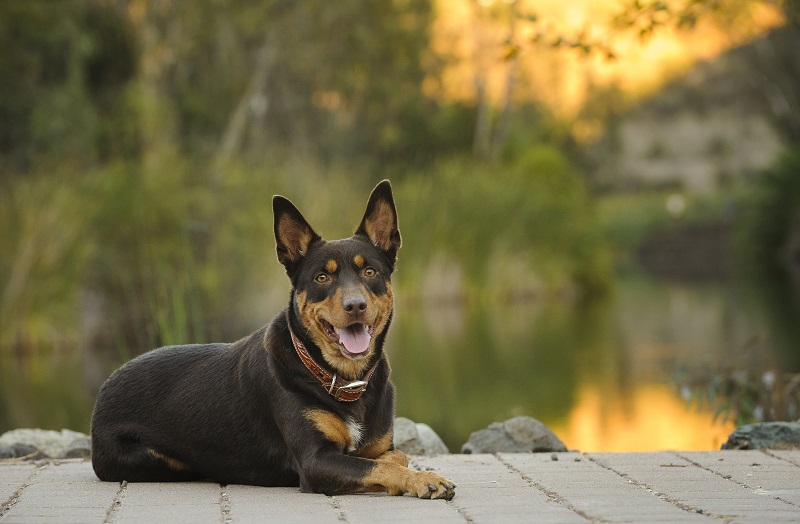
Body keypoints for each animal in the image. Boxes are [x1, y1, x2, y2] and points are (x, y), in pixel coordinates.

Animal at [90, 180, 455, 500]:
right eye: (322, 277)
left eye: (370, 272)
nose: (355, 305)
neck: (341, 380)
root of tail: (105, 387)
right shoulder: (315, 461)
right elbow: (378, 466)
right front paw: (425, 479)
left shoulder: (379, 445)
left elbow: (393, 457)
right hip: (156, 459)